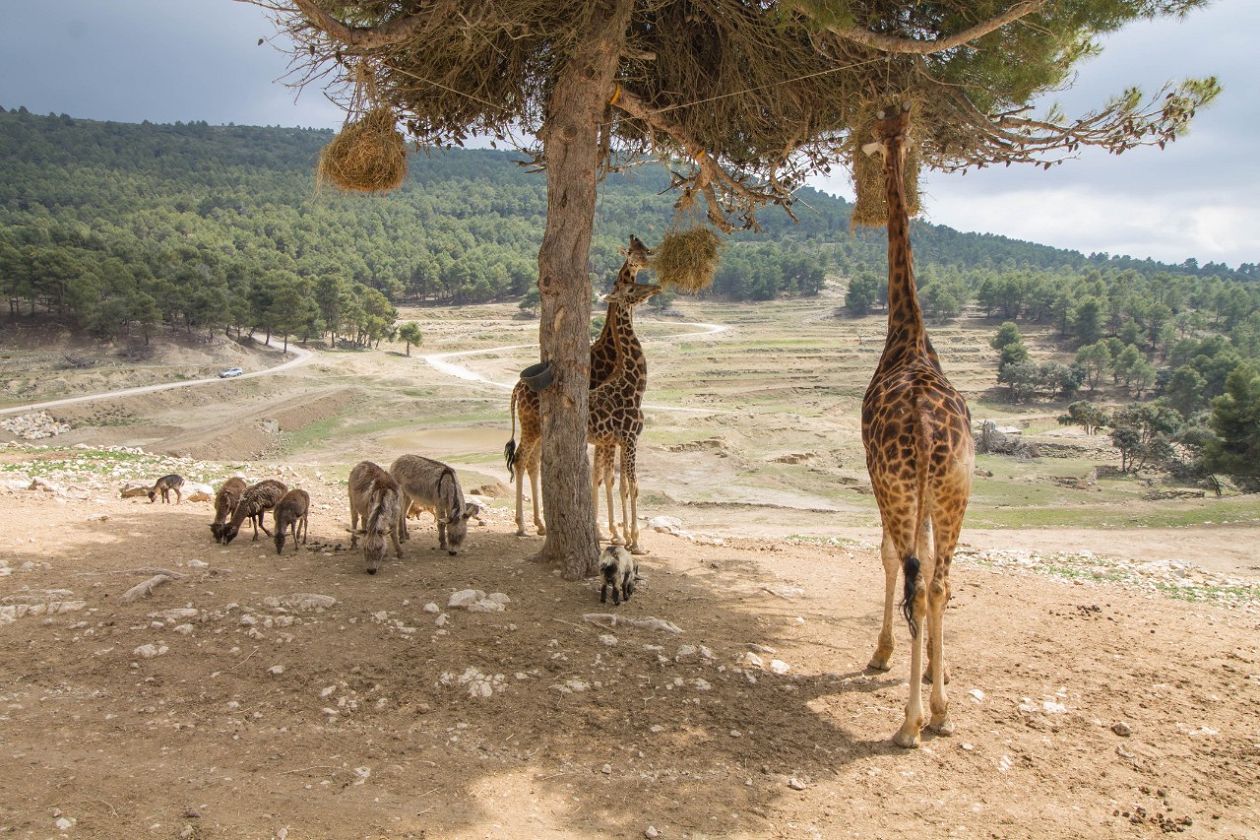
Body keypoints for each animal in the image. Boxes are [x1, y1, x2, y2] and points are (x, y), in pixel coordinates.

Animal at [504, 236, 655, 539]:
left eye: (646, 248)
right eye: (633, 252)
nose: (655, 282)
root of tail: (517, 388)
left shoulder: (610, 440)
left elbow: (609, 479)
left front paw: (612, 531)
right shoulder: (622, 438)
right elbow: (612, 480)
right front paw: (619, 534)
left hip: (537, 428)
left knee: (533, 463)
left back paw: (539, 523)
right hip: (533, 426)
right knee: (522, 460)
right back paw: (523, 524)